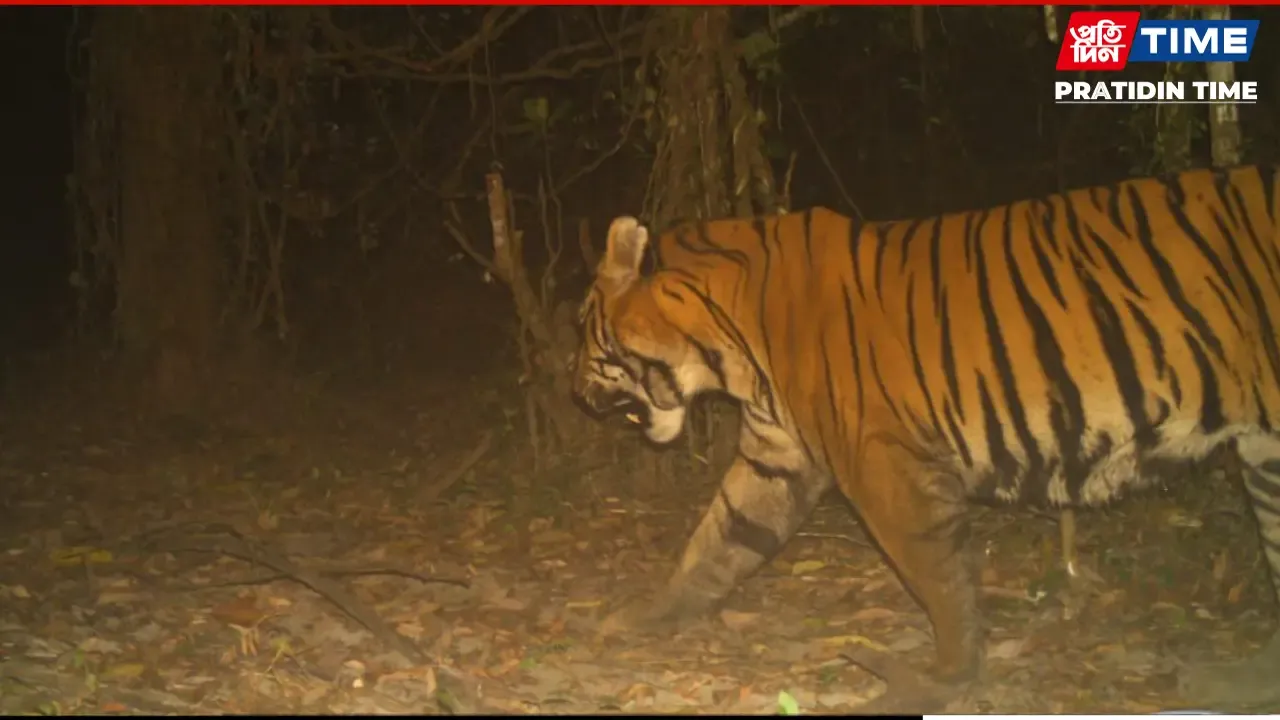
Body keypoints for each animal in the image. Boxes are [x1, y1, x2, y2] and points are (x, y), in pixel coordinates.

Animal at [571, 165, 1280, 707]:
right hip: (1266, 454)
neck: (727, 347)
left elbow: (938, 578)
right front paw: (647, 615)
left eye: (584, 328)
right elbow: (718, 540)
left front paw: (947, 675)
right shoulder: (778, 459)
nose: (573, 392)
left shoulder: (882, 464)